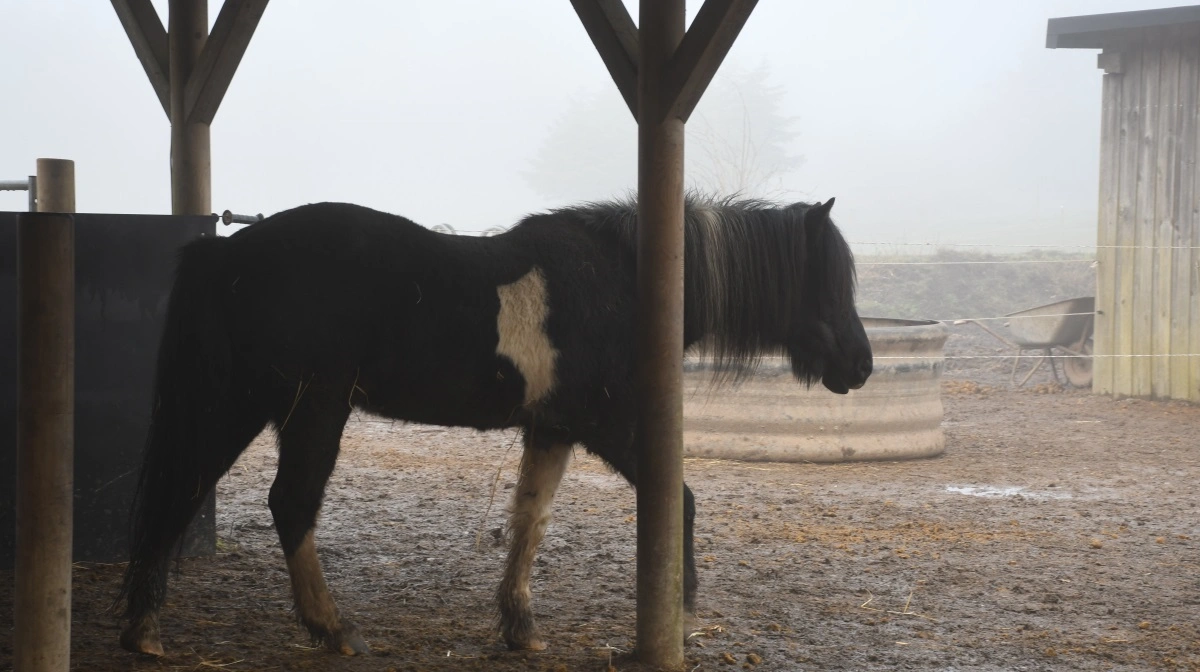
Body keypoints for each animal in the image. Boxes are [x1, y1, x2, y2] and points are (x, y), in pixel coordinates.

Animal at [114, 193, 873, 657]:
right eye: (828, 281)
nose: (861, 365)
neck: (624, 286)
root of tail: (226, 254)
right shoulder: (612, 426)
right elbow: (678, 503)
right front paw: (678, 619)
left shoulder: (552, 430)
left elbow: (529, 520)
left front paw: (519, 625)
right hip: (309, 407)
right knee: (286, 503)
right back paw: (330, 629)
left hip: (241, 404)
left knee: (184, 491)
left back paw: (145, 627)